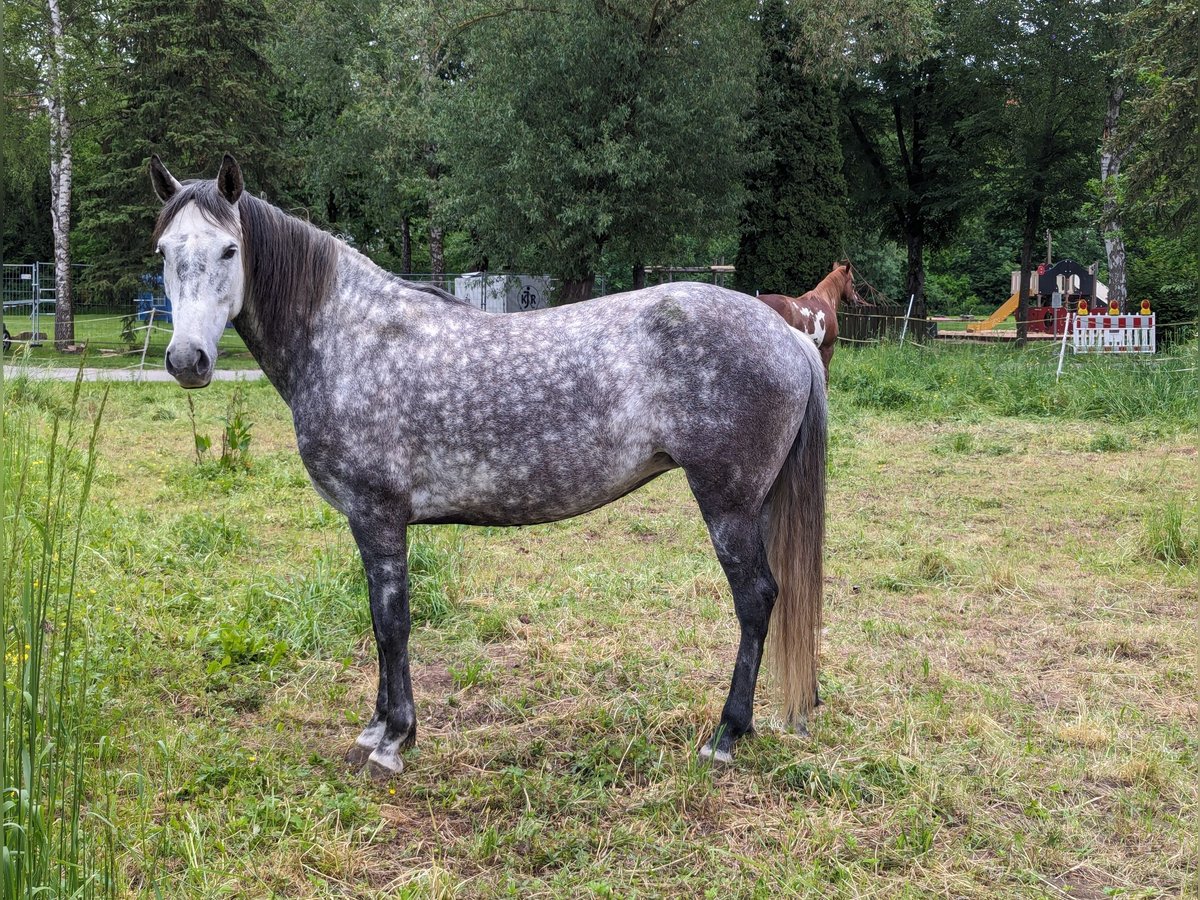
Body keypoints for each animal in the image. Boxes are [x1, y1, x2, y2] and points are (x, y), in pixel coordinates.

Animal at [150, 157, 825, 782]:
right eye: (163, 251)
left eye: (230, 248)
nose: (187, 360)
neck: (347, 338)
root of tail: (790, 336)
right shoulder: (368, 525)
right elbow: (377, 618)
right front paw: (375, 728)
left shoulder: (377, 517)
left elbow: (392, 623)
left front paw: (394, 740)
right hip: (756, 504)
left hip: (727, 505)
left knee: (756, 600)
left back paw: (726, 735)